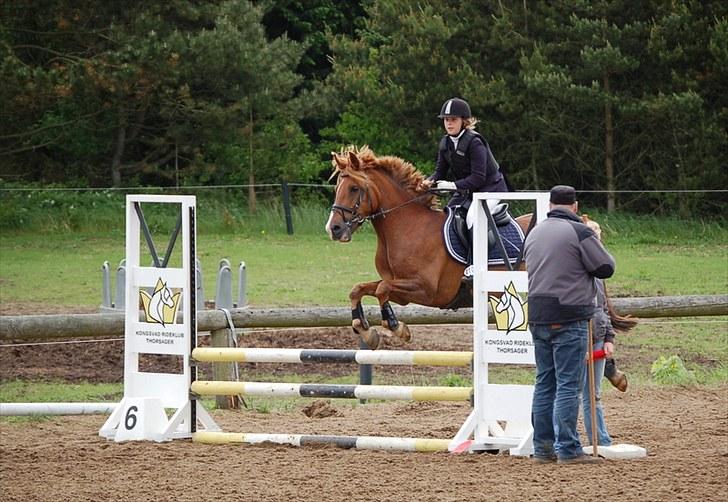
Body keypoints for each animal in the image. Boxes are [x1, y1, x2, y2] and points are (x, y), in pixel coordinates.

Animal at [324, 145, 528, 350]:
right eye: (337, 188)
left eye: (354, 188)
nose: (333, 229)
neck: (407, 227)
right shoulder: (400, 290)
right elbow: (359, 289)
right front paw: (366, 331)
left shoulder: (428, 291)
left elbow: (382, 289)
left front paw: (397, 327)